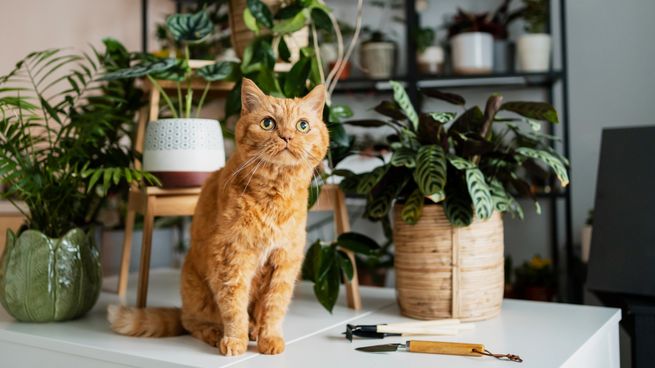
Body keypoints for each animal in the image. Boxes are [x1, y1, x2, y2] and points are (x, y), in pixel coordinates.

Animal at [111, 77, 334, 356]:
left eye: (303, 125)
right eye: (268, 123)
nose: (287, 136)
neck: (273, 195)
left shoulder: (285, 261)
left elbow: (274, 306)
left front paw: (269, 338)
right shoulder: (231, 257)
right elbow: (234, 306)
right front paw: (235, 340)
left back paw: (255, 330)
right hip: (195, 290)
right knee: (192, 323)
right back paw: (218, 333)